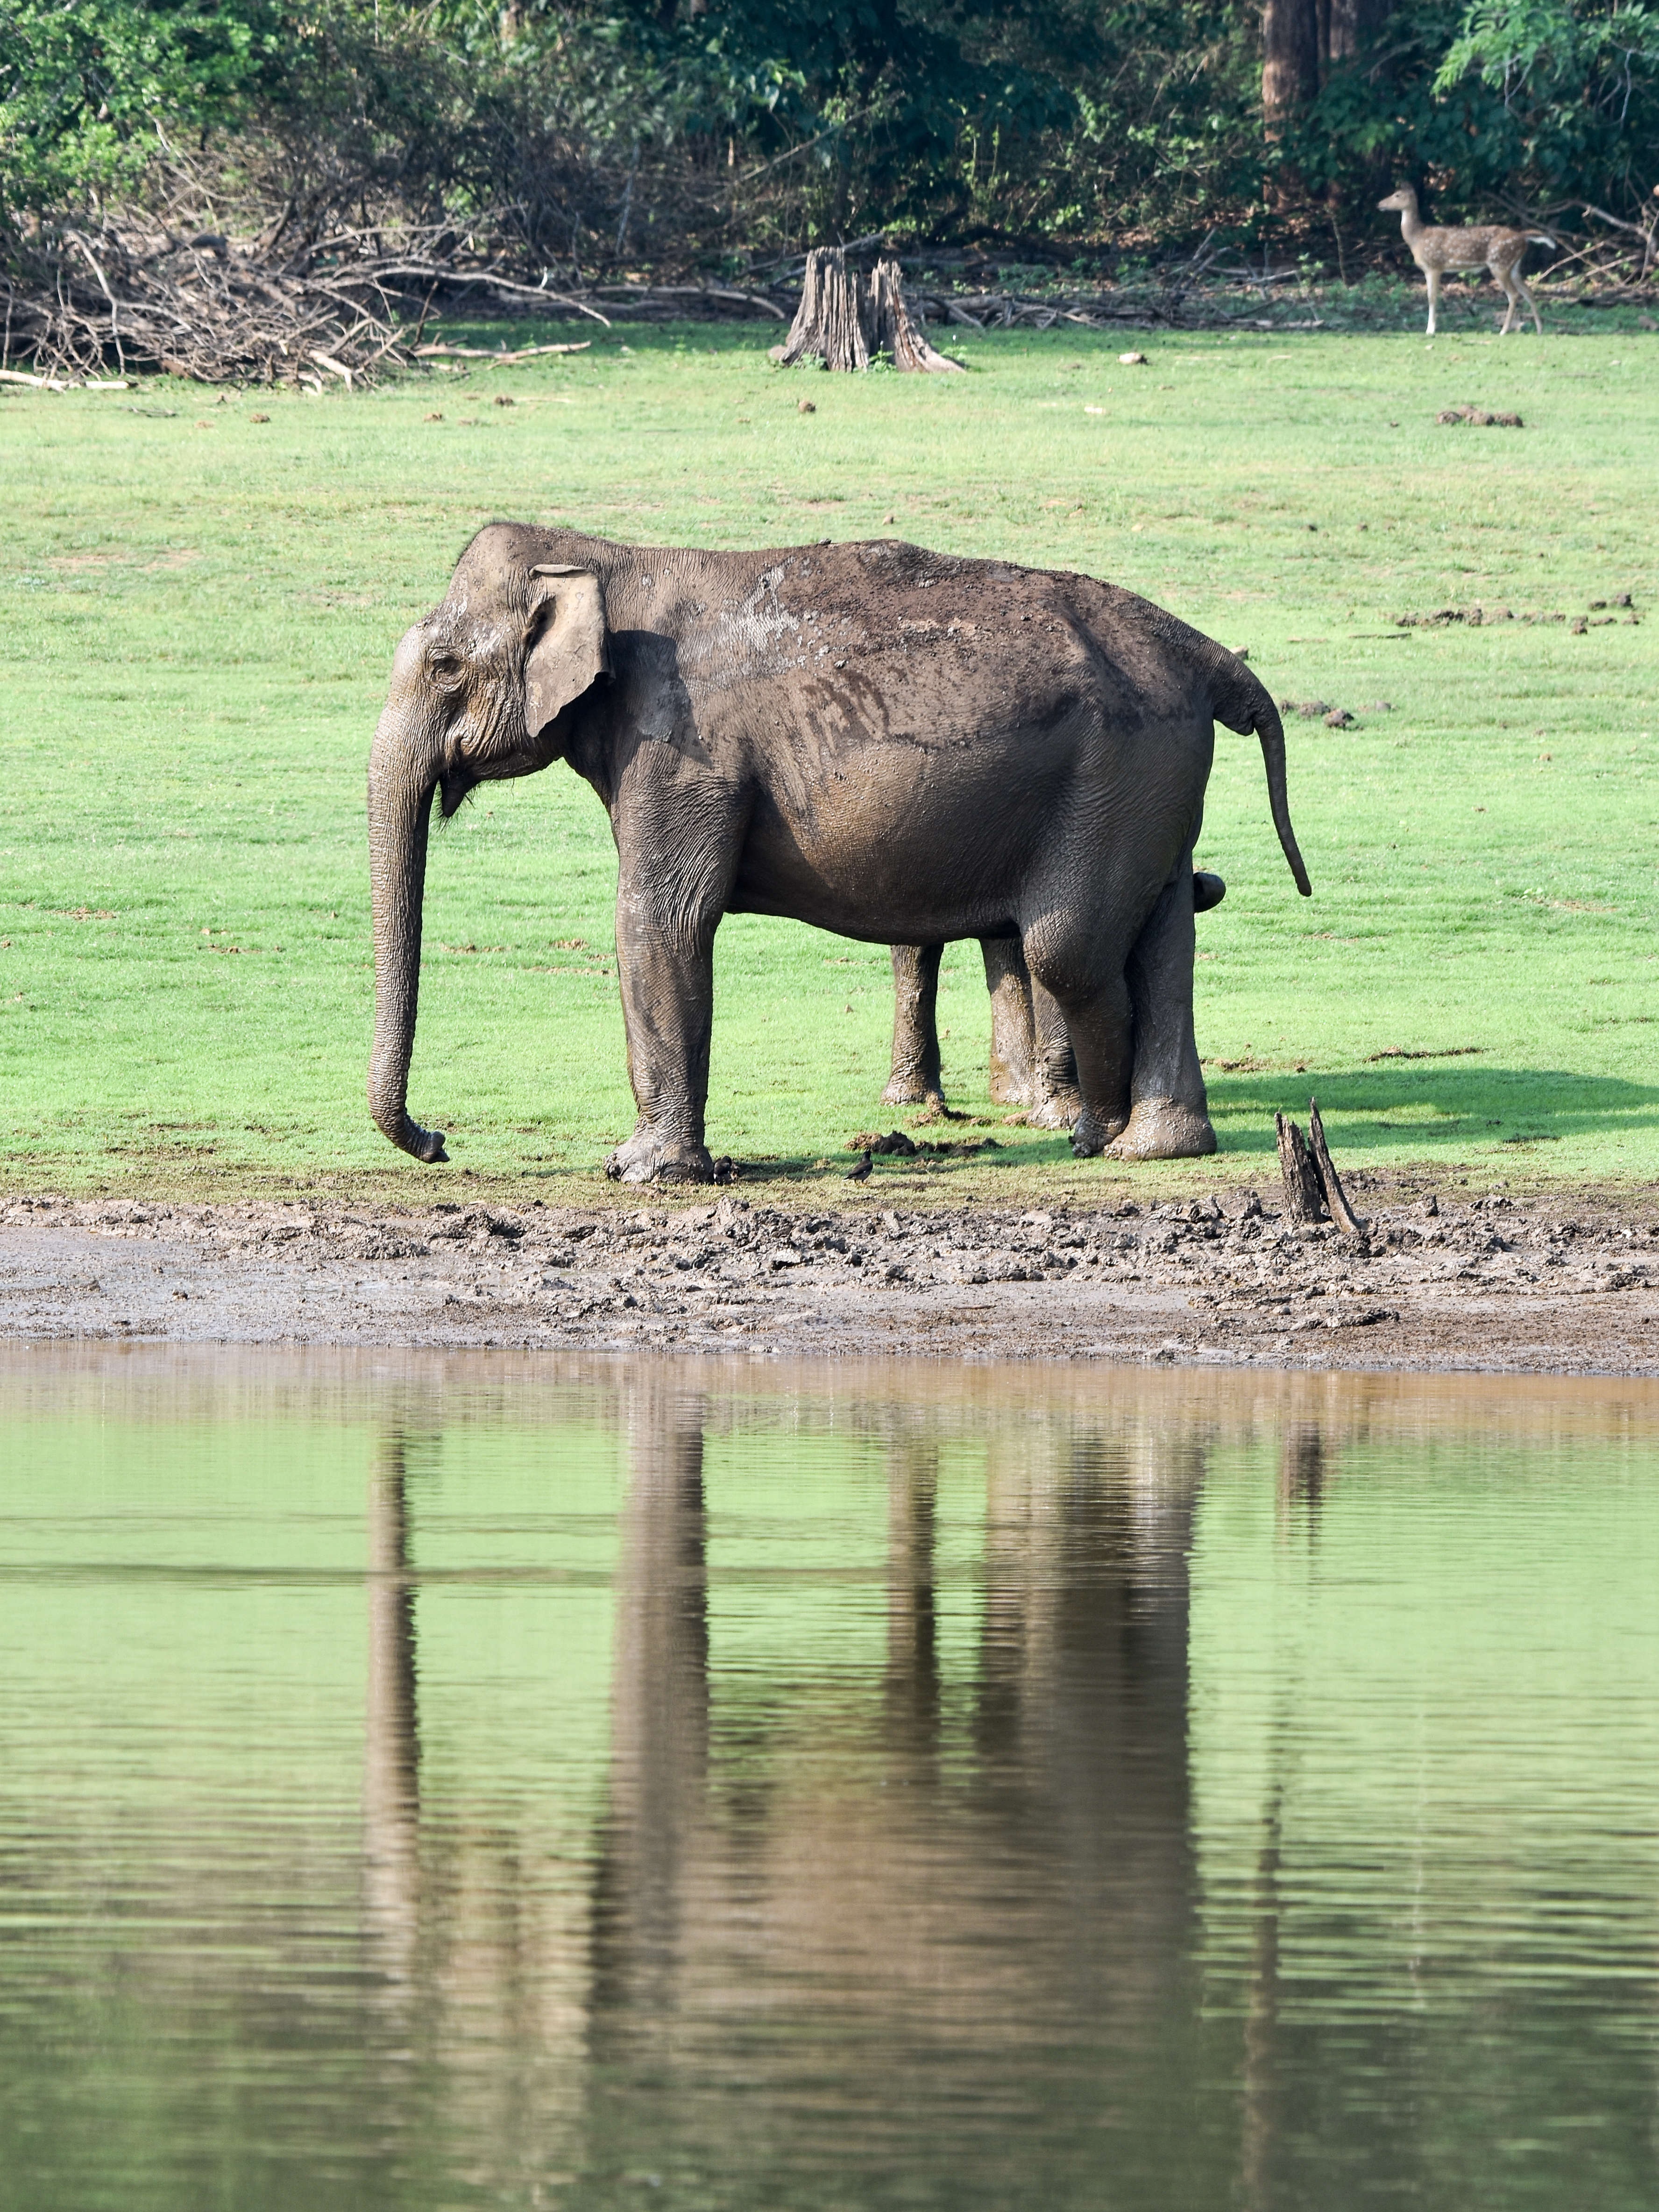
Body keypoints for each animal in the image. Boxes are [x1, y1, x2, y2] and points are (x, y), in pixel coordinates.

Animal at [1380, 185, 1557, 334]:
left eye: (1397, 195)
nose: (1380, 204)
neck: (1417, 238)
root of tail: (1523, 237)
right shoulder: (1428, 269)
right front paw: (1430, 329)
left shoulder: (1435, 266)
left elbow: (1432, 298)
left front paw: (1430, 330)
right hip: (1513, 266)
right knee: (1528, 291)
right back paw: (1540, 330)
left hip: (1499, 263)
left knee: (1514, 294)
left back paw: (1503, 331)